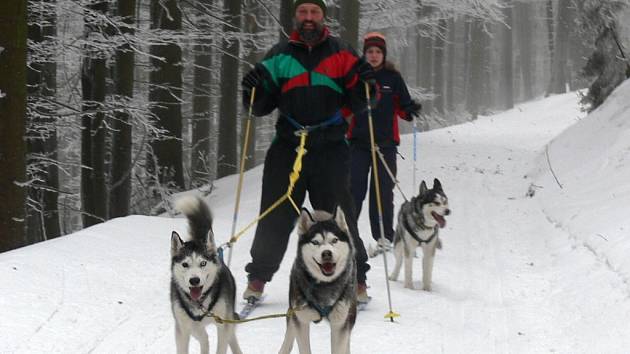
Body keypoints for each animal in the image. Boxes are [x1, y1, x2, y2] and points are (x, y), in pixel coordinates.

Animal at [172, 196, 243, 354]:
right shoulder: (183, 329)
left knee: (231, 337)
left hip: (228, 318)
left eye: (203, 263)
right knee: (204, 338)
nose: (194, 280)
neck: (200, 303)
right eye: (185, 264)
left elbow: (222, 344)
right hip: (194, 327)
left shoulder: (223, 324)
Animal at [280, 207, 358, 354]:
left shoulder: (340, 324)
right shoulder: (301, 320)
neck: (324, 285)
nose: (326, 253)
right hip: (293, 310)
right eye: (315, 242)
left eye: (334, 240)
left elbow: (341, 345)